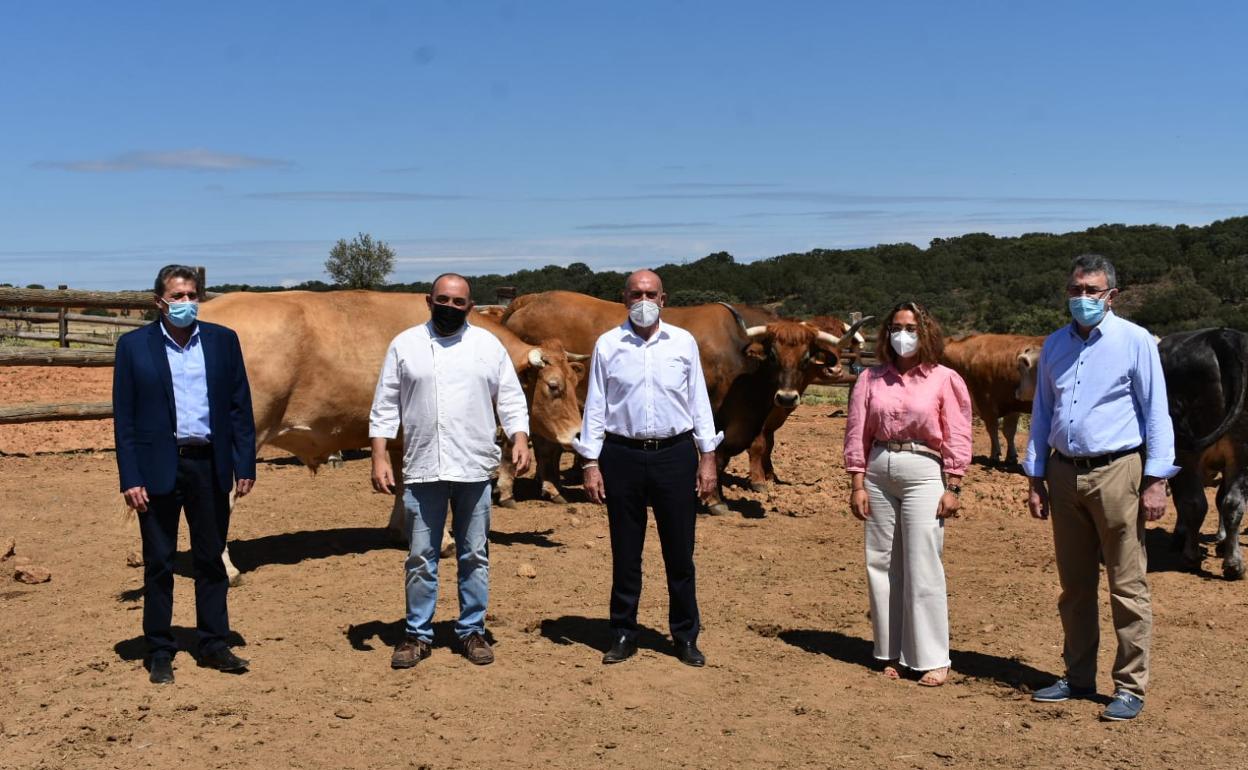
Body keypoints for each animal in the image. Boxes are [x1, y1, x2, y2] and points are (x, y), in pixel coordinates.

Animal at [496, 290, 858, 514]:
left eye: (807, 355)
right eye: (772, 353)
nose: (785, 396)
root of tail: (530, 299)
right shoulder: (718, 414)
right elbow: (718, 454)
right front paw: (714, 498)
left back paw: (552, 488)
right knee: (534, 444)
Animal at [938, 329, 1048, 461]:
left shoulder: (985, 400)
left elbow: (992, 428)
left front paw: (994, 454)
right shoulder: (1011, 403)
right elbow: (1009, 431)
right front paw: (1011, 456)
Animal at [1158, 326, 1248, 579]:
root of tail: (1221, 336)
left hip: (1185, 453)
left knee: (1197, 503)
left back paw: (1193, 557)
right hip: (1242, 451)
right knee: (1232, 503)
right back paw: (1233, 564)